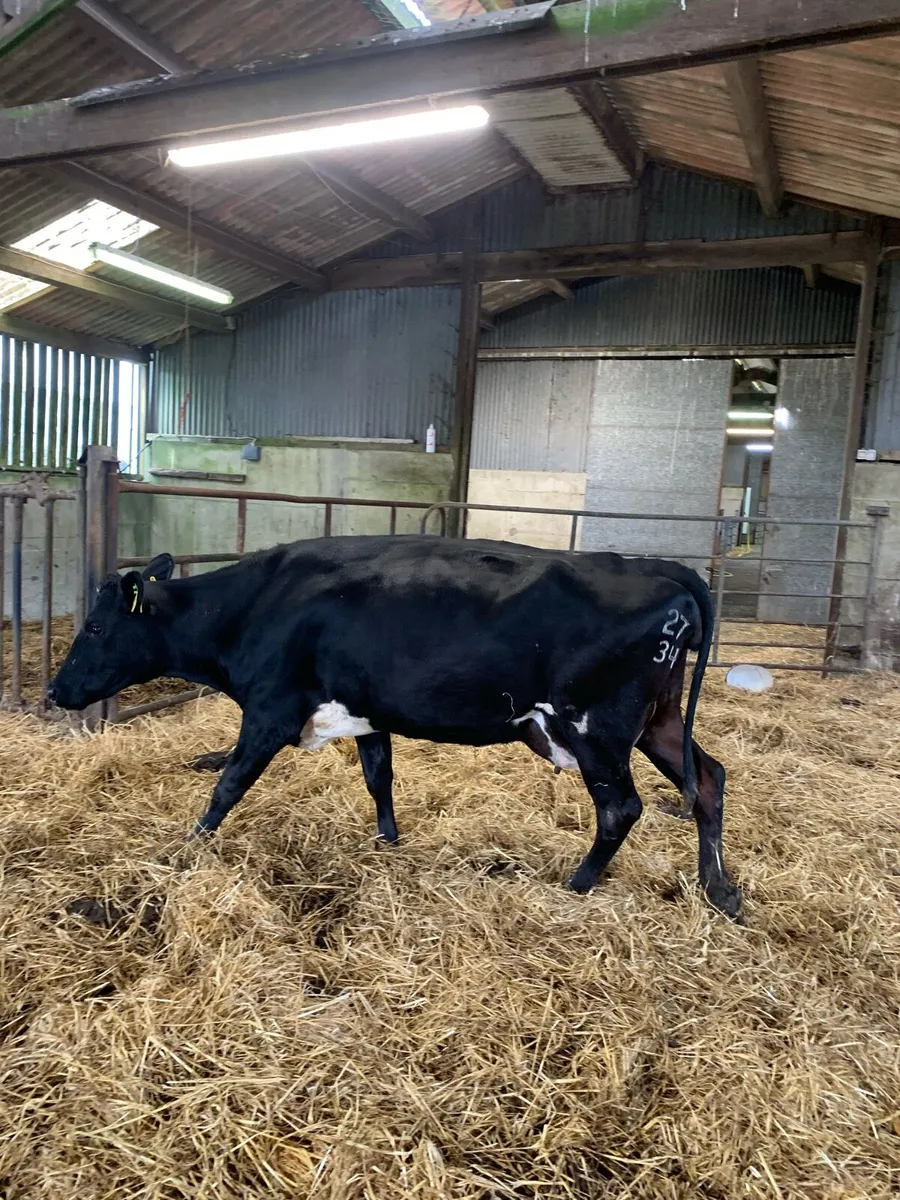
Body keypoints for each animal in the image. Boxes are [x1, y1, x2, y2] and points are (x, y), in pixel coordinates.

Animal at [48, 536, 741, 918]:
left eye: (96, 626)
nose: (56, 691)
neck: (257, 605)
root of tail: (655, 568)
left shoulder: (271, 710)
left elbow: (228, 787)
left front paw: (184, 849)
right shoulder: (365, 712)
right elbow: (379, 778)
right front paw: (388, 844)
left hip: (596, 732)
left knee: (621, 808)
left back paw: (577, 885)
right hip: (658, 723)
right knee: (708, 778)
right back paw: (719, 890)